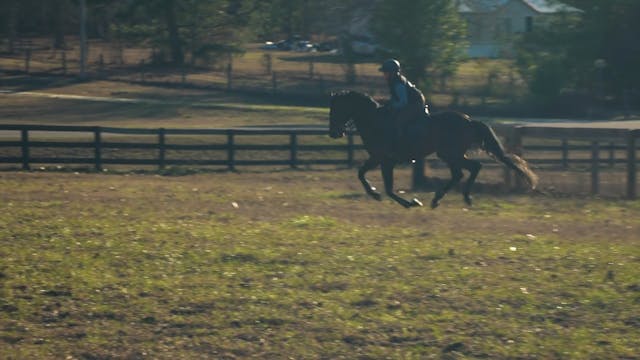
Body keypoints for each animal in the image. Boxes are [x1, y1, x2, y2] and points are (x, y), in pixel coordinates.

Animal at [328, 90, 536, 208]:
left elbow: (386, 187)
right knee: (465, 171)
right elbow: (362, 174)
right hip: (451, 155)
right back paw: (443, 198)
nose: (333, 133)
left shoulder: (384, 159)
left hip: (450, 154)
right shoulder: (379, 159)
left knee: (468, 170)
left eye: (336, 109)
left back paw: (456, 197)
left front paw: (408, 202)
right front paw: (375, 193)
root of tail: (469, 120)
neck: (375, 121)